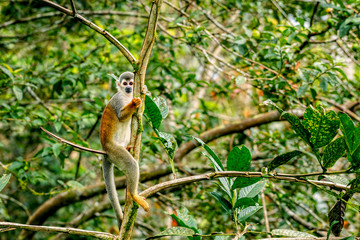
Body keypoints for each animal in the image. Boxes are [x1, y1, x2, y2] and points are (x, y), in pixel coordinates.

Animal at [100, 71, 149, 227]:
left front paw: (143, 91)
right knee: (130, 163)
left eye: (131, 83)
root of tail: (104, 150)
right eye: (125, 83)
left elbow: (140, 113)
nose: (128, 88)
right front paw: (134, 103)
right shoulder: (118, 100)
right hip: (113, 151)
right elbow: (121, 116)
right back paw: (133, 195)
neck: (126, 96)